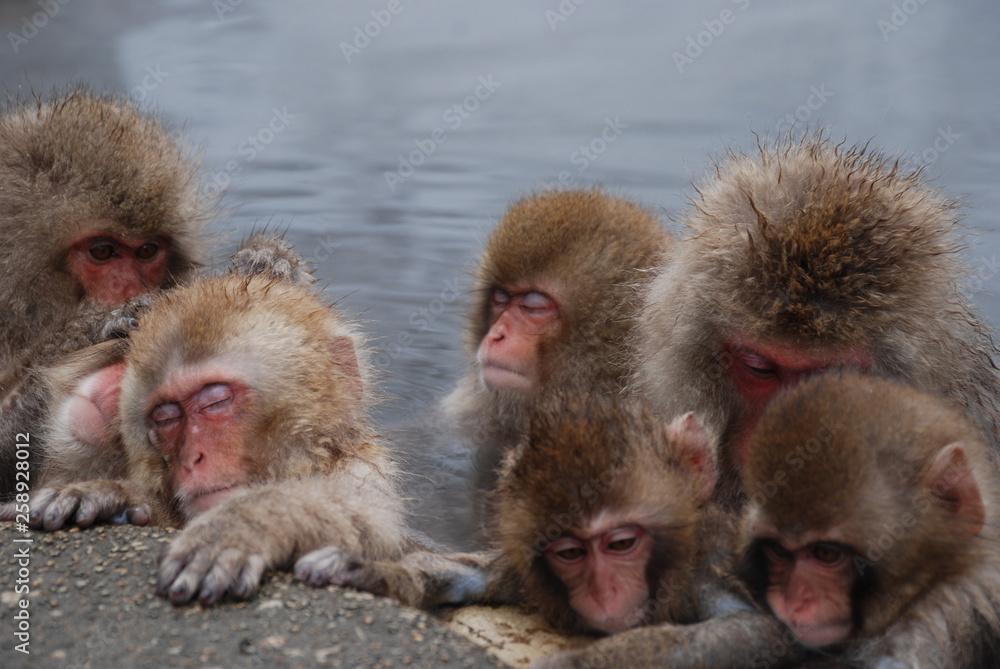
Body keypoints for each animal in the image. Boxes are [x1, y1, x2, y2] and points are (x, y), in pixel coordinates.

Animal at [8, 252, 406, 605]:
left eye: (216, 401)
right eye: (166, 418)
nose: (191, 459)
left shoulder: (362, 473)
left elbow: (368, 527)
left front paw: (245, 523)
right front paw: (114, 497)